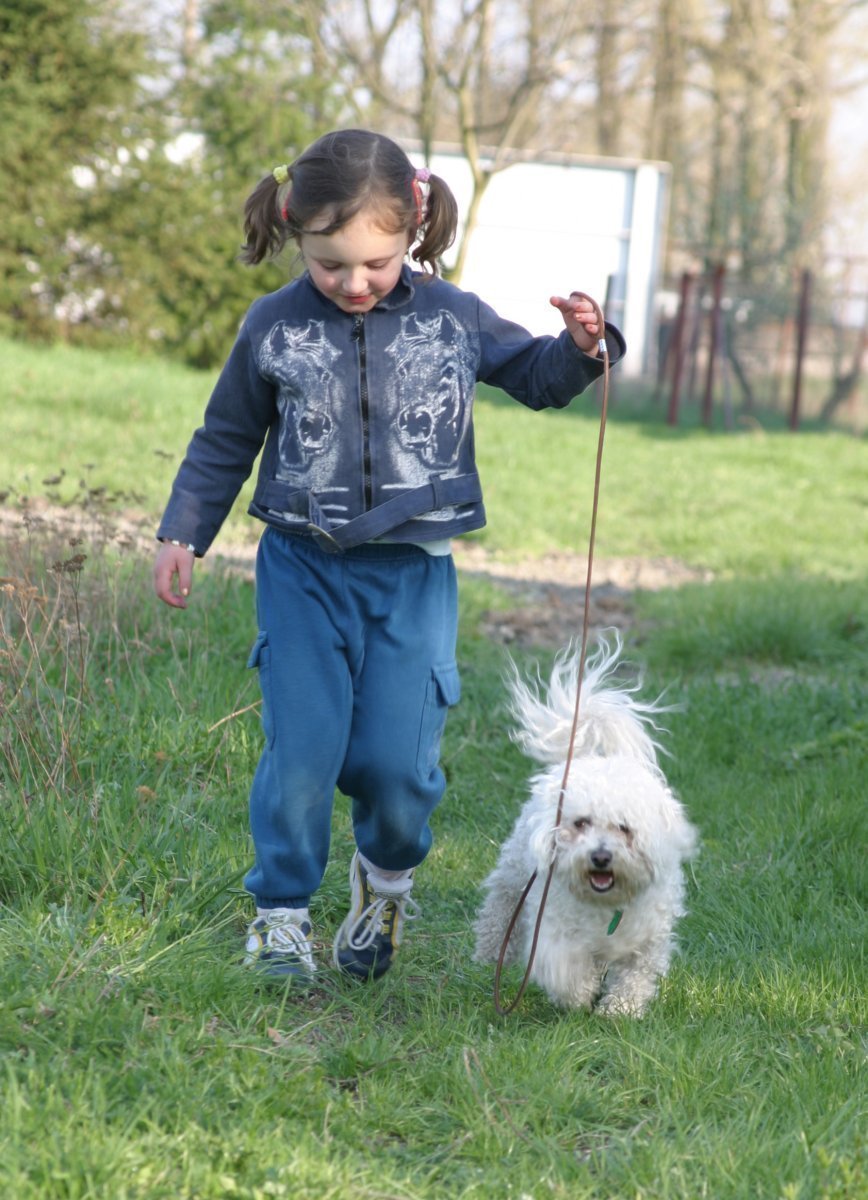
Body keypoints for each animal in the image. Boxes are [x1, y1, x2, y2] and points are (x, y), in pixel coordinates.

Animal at [473, 633, 696, 1017]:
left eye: (624, 828)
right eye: (581, 823)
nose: (601, 857)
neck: (606, 903)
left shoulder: (647, 940)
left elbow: (635, 975)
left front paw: (619, 1009)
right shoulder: (554, 930)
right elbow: (567, 970)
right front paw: (580, 997)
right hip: (514, 872)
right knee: (500, 906)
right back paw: (487, 952)